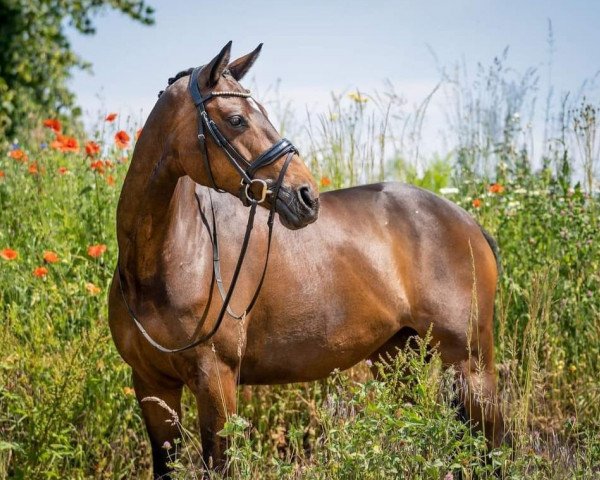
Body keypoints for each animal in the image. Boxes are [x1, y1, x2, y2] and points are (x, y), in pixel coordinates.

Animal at [109, 43, 506, 478]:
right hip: (397, 359)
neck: (168, 260)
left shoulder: (216, 379)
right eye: (236, 119)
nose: (306, 196)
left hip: (470, 363)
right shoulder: (152, 386)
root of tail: (467, 221)